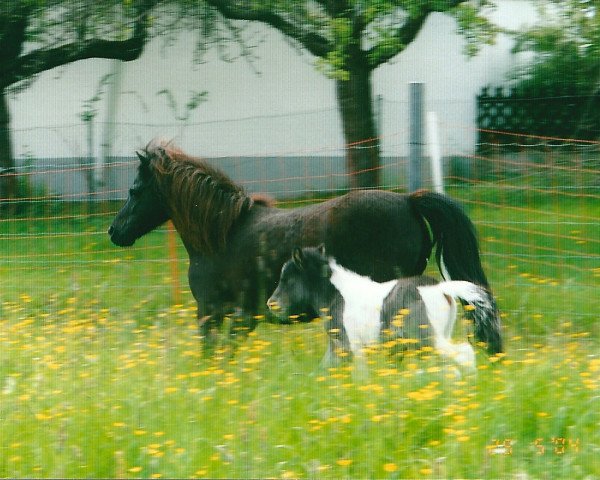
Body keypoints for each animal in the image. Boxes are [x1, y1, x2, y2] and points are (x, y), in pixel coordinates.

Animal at [108, 139, 502, 352]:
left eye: (134, 190)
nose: (115, 231)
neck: (222, 234)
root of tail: (408, 200)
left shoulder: (212, 312)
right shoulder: (242, 317)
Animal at [270, 246, 494, 370]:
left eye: (287, 279)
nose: (271, 303)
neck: (338, 297)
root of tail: (442, 288)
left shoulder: (353, 347)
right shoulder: (337, 348)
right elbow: (323, 370)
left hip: (427, 339)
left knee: (463, 353)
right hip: (437, 337)